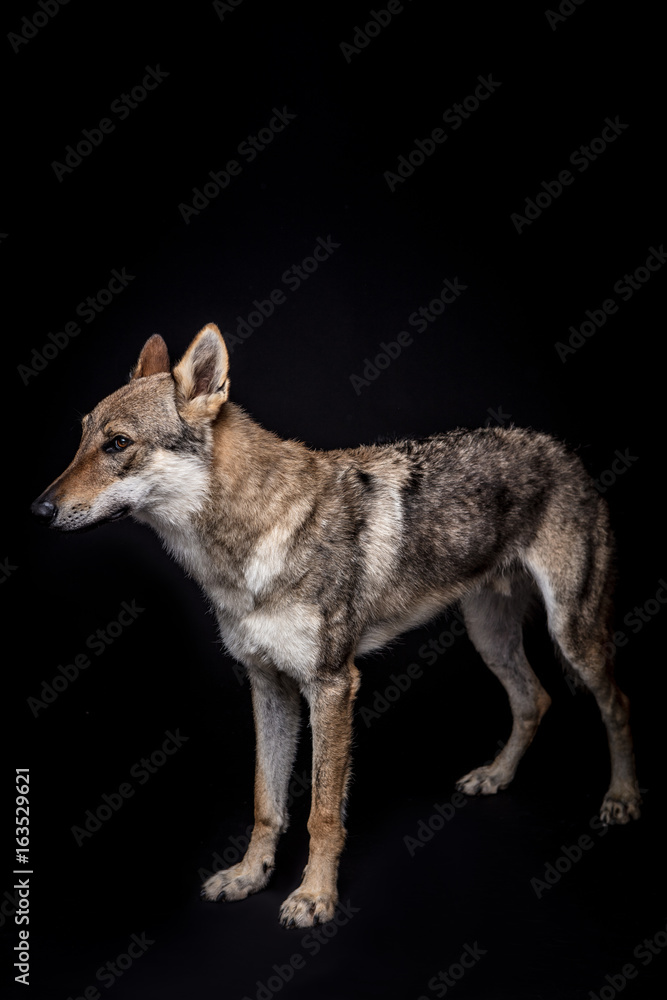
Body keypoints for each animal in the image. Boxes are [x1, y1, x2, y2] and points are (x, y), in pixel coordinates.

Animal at [32, 323, 641, 927]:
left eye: (118, 444)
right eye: (81, 438)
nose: (38, 511)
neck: (247, 548)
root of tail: (561, 448)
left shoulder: (332, 686)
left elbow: (322, 814)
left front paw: (314, 897)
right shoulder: (267, 686)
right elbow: (267, 802)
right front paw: (249, 876)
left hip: (573, 635)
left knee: (615, 703)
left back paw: (623, 797)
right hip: (488, 636)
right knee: (534, 699)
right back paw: (497, 775)